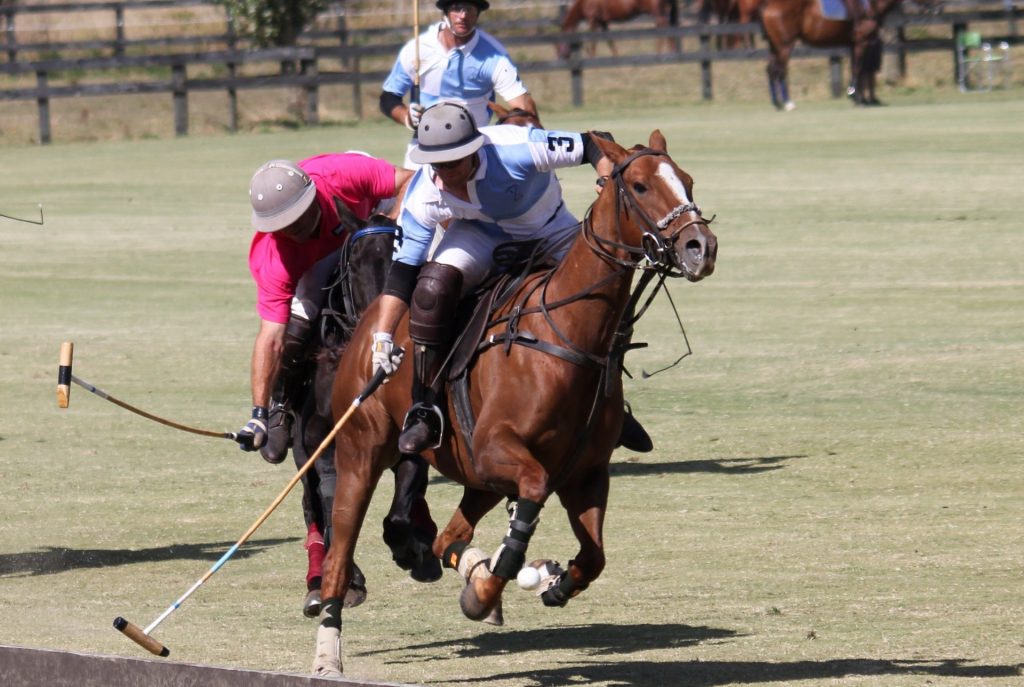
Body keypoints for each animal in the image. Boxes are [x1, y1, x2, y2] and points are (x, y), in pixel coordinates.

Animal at [311, 132, 720, 679]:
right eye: (638, 185)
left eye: (688, 180)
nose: (701, 248)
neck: (568, 334)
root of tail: (375, 315)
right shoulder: (499, 451)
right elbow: (526, 512)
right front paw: (491, 588)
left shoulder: (587, 473)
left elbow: (593, 557)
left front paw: (549, 581)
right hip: (363, 453)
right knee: (340, 555)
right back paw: (327, 654)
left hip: (476, 478)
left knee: (446, 539)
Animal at [761, 0, 913, 109]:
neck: (872, 5)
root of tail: (769, 6)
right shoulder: (862, 42)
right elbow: (858, 69)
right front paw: (856, 97)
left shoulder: (854, 44)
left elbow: (857, 69)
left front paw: (859, 98)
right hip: (784, 46)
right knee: (779, 70)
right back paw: (787, 103)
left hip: (775, 47)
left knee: (770, 70)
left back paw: (777, 103)